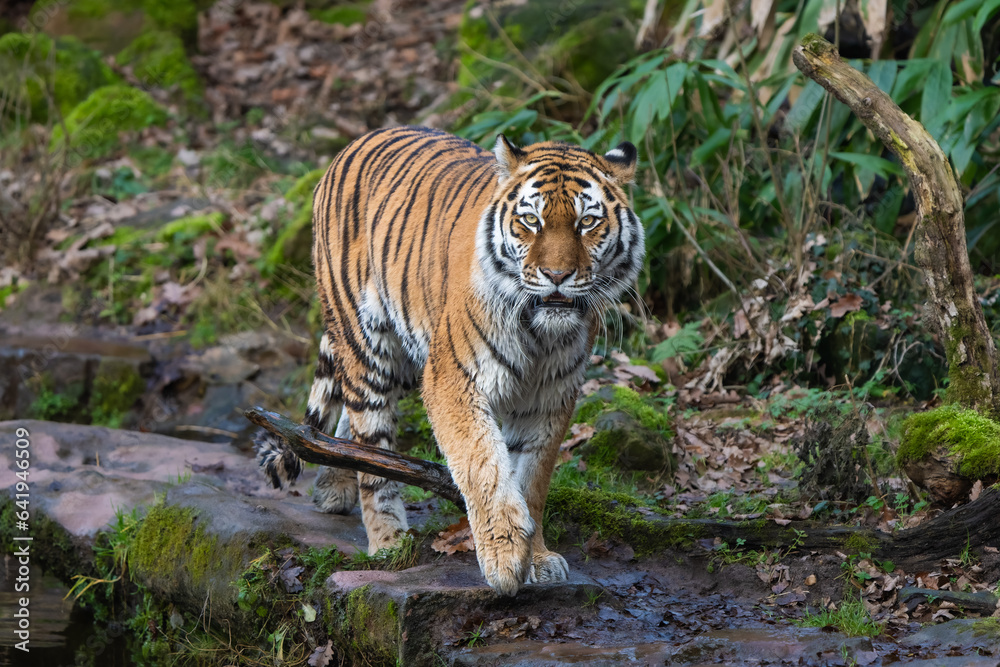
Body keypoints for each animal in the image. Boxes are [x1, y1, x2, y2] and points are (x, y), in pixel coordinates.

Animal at [254, 124, 644, 596]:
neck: (540, 333)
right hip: (367, 342)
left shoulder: (551, 397)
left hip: (406, 356)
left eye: (587, 222)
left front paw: (538, 558)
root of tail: (355, 142)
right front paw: (504, 558)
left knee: (351, 423)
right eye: (531, 221)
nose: (556, 276)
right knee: (373, 445)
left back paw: (333, 490)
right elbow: (482, 464)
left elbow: (531, 479)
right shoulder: (453, 379)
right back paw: (387, 541)